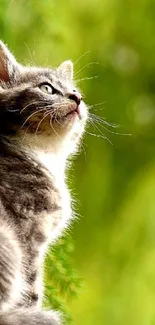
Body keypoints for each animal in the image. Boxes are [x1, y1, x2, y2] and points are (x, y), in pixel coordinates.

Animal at [0, 41, 87, 324]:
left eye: (75, 90)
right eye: (47, 88)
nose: (76, 98)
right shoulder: (28, 232)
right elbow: (31, 286)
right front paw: (31, 311)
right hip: (8, 244)